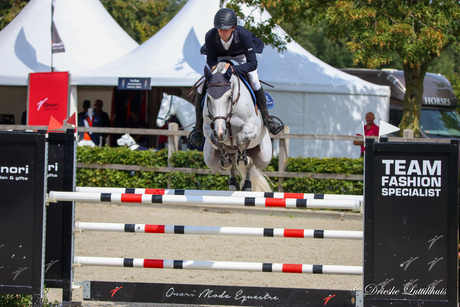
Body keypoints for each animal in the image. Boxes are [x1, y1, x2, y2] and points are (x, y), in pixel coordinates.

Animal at [203, 61, 272, 191]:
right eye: (208, 98)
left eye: (229, 97)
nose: (221, 132)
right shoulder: (208, 127)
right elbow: (215, 140)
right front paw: (225, 160)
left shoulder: (252, 126)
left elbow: (240, 138)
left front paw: (241, 159)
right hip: (210, 160)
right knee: (232, 162)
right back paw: (233, 182)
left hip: (264, 157)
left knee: (250, 163)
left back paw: (247, 184)